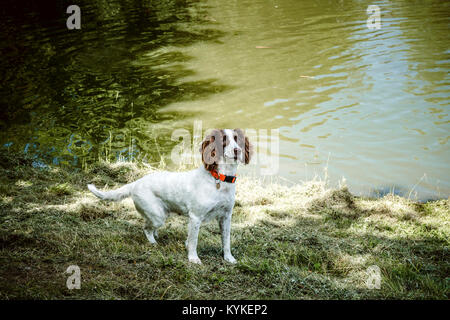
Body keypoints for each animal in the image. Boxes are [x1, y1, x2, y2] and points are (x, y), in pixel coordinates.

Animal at [86, 129, 251, 264]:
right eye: (223, 140)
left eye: (237, 139)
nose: (237, 150)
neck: (219, 179)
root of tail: (135, 183)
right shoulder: (196, 217)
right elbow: (194, 241)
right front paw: (193, 259)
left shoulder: (226, 217)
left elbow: (226, 241)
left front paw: (228, 258)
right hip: (157, 216)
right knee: (146, 228)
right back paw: (153, 242)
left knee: (150, 227)